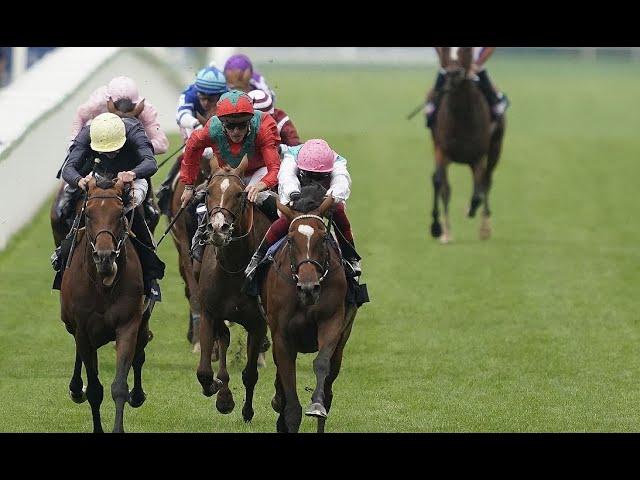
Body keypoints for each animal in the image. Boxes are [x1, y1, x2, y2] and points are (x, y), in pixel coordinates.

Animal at [59, 178, 150, 434]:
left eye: (120, 214)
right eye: (88, 214)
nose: (105, 256)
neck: (102, 285)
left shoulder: (128, 324)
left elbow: (119, 385)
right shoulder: (82, 330)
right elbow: (94, 389)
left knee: (142, 345)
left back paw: (137, 394)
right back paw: (75, 388)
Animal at [194, 157, 272, 420]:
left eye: (239, 194)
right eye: (208, 192)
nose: (218, 228)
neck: (234, 268)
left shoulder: (258, 323)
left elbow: (250, 374)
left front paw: (247, 411)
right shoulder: (210, 313)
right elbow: (205, 371)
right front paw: (220, 393)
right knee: (225, 340)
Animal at [260, 189, 360, 434]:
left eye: (323, 238)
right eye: (290, 239)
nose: (308, 288)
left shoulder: (332, 323)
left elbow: (322, 363)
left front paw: (316, 405)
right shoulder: (282, 336)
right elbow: (288, 389)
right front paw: (284, 410)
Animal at [430, 46, 504, 242]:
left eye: (465, 49)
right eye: (446, 49)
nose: (454, 73)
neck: (461, 116)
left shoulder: (478, 156)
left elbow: (478, 192)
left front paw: (470, 211)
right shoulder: (442, 150)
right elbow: (442, 185)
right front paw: (442, 230)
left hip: (495, 148)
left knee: (487, 181)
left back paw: (484, 227)